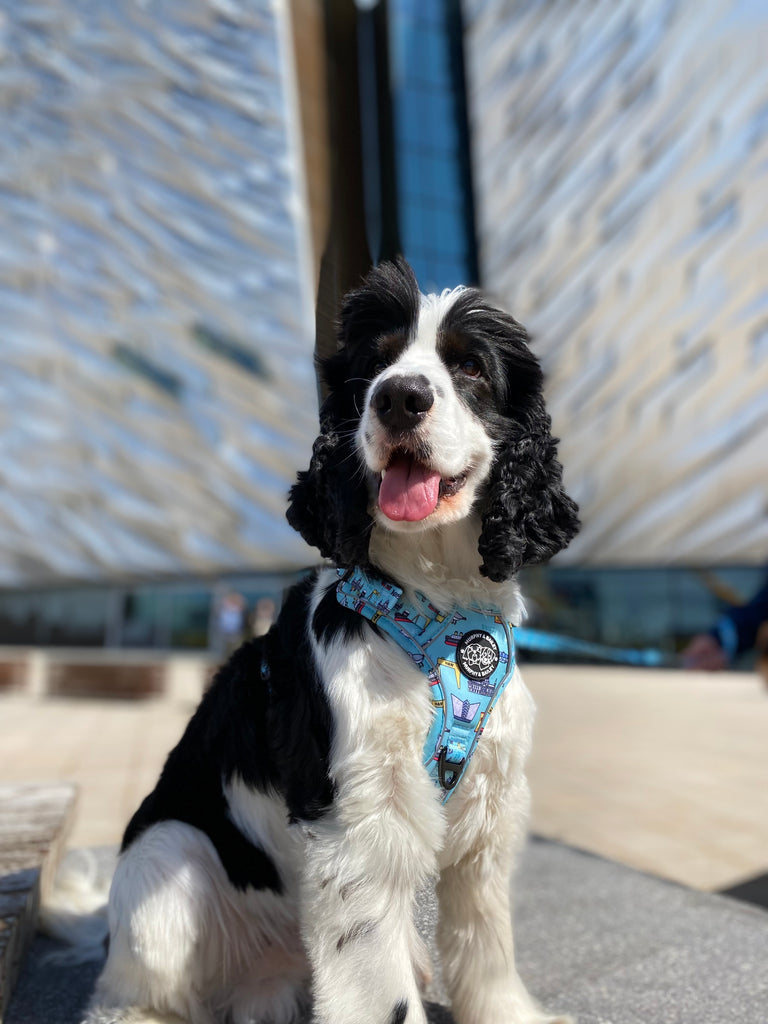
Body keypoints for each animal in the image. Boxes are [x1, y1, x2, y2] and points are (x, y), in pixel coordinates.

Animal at [82, 260, 577, 1024]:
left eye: (469, 366)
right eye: (373, 366)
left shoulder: (492, 803)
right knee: (135, 989)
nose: (400, 397)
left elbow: (486, 941)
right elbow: (378, 983)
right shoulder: (358, 818)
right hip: (168, 856)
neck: (434, 606)